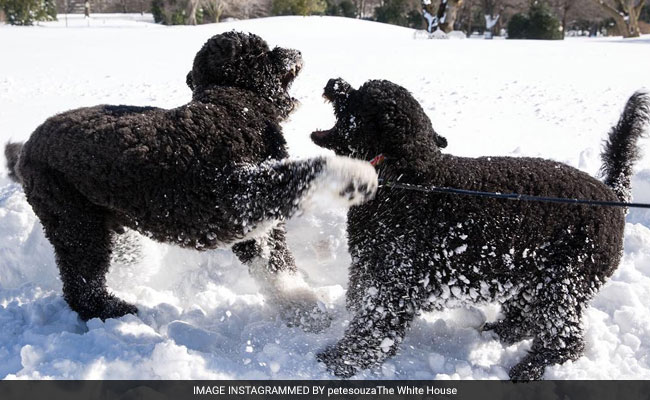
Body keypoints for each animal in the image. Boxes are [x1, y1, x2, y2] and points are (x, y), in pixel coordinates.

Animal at [3, 32, 374, 330]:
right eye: (265, 51)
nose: (295, 50)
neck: (232, 102)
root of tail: (29, 146)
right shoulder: (238, 195)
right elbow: (307, 172)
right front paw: (355, 176)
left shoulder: (253, 226)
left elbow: (277, 269)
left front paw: (303, 309)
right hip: (74, 222)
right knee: (80, 284)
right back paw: (112, 310)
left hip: (102, 223)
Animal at [312, 79, 644, 382]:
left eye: (359, 96)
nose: (332, 82)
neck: (405, 179)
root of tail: (614, 196)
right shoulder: (368, 268)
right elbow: (358, 304)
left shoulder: (394, 285)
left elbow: (373, 330)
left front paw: (340, 361)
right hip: (530, 279)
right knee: (524, 320)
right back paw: (497, 332)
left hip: (562, 285)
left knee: (566, 341)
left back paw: (531, 368)